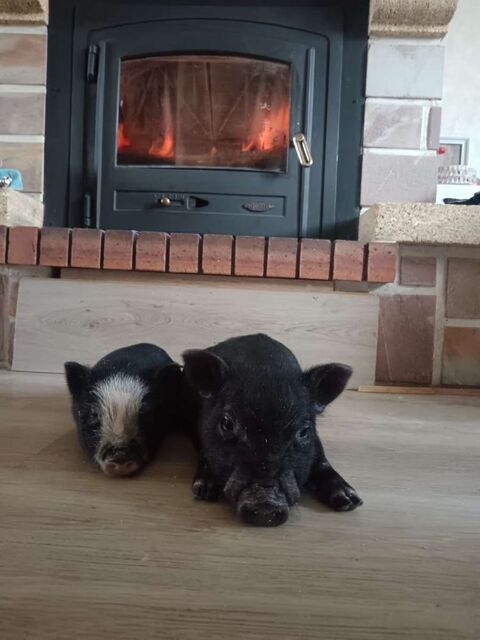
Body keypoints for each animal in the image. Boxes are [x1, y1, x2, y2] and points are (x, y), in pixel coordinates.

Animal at [182, 333, 362, 526]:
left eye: (304, 431)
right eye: (227, 424)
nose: (265, 504)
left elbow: (321, 460)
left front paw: (350, 500)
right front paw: (204, 491)